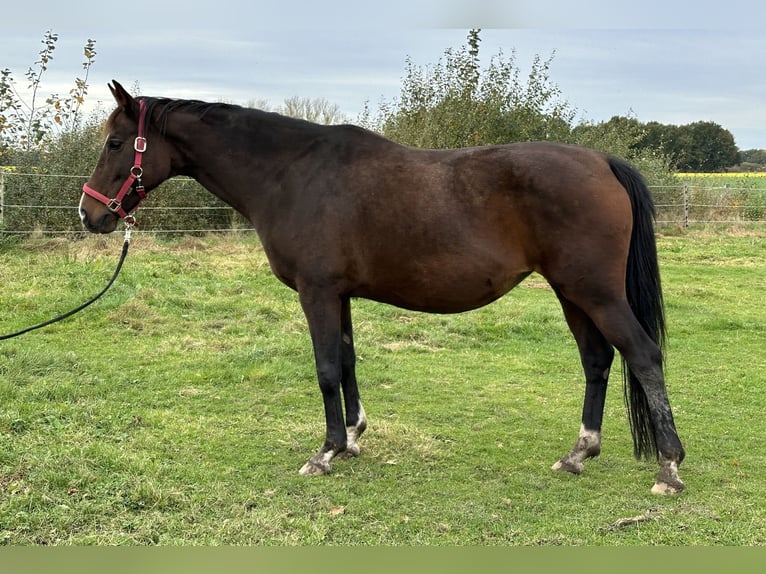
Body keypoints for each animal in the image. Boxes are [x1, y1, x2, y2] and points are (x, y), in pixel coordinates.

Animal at [78, 80, 688, 496]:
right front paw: (351, 439)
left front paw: (325, 453)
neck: (291, 173)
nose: (90, 215)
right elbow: (347, 363)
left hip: (595, 292)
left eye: (115, 143)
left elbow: (326, 369)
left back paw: (669, 467)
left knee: (643, 355)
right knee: (597, 360)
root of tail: (603, 162)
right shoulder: (339, 295)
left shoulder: (317, 292)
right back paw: (579, 453)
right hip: (572, 293)